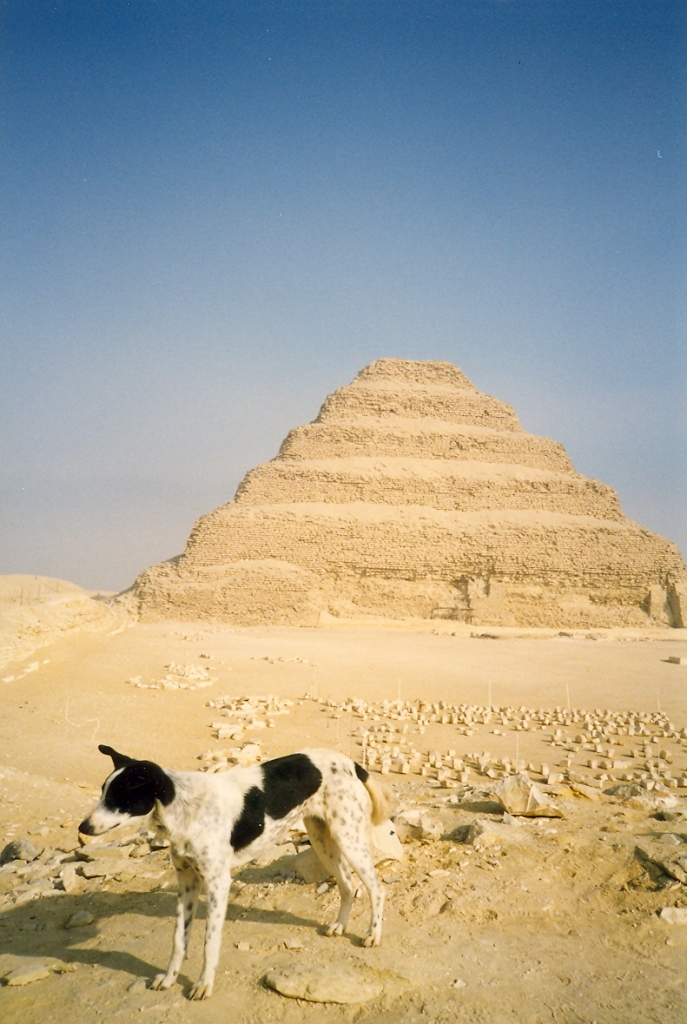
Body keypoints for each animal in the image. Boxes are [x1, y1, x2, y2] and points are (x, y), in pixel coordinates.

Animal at [78, 745, 389, 999]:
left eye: (119, 798)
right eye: (103, 792)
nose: (82, 827)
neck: (185, 809)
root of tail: (351, 763)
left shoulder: (217, 884)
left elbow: (210, 943)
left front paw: (203, 985)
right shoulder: (187, 882)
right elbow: (179, 939)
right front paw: (169, 979)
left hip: (348, 839)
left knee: (376, 887)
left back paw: (373, 935)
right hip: (323, 839)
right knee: (348, 884)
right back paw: (339, 926)